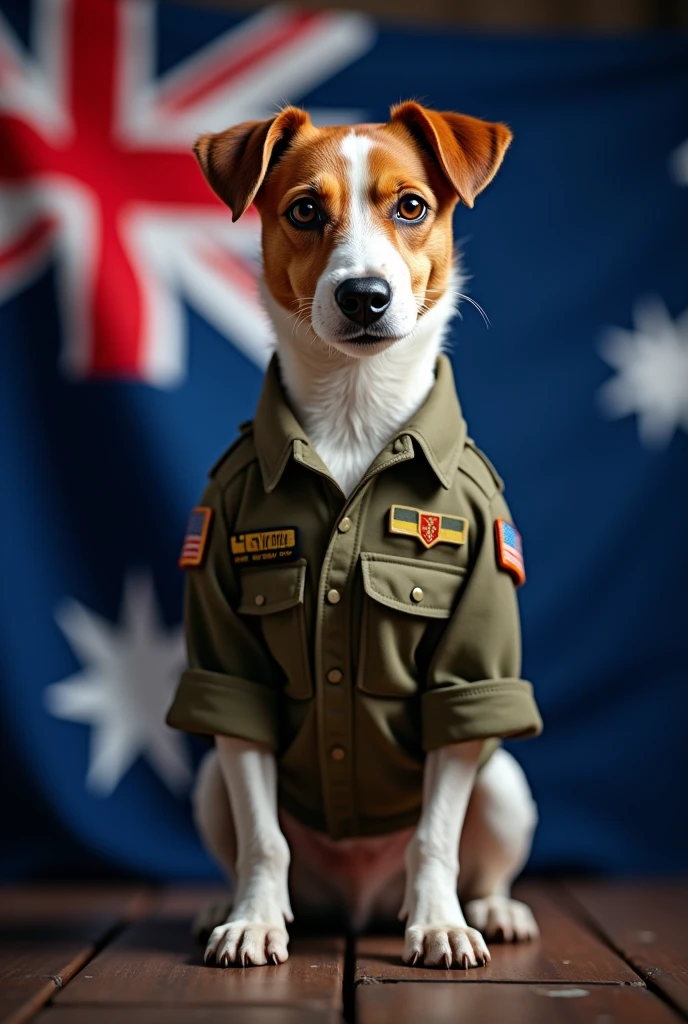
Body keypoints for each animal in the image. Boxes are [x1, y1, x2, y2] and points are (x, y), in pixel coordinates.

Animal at [167, 101, 544, 966]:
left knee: (478, 852)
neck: (354, 408)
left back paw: (490, 909)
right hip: (210, 787)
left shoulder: (469, 661)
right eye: (306, 210)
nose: (365, 296)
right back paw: (226, 902)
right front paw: (254, 920)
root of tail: (357, 903)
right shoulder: (229, 665)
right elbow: (263, 835)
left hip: (505, 783)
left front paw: (439, 924)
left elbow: (435, 836)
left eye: (410, 206)